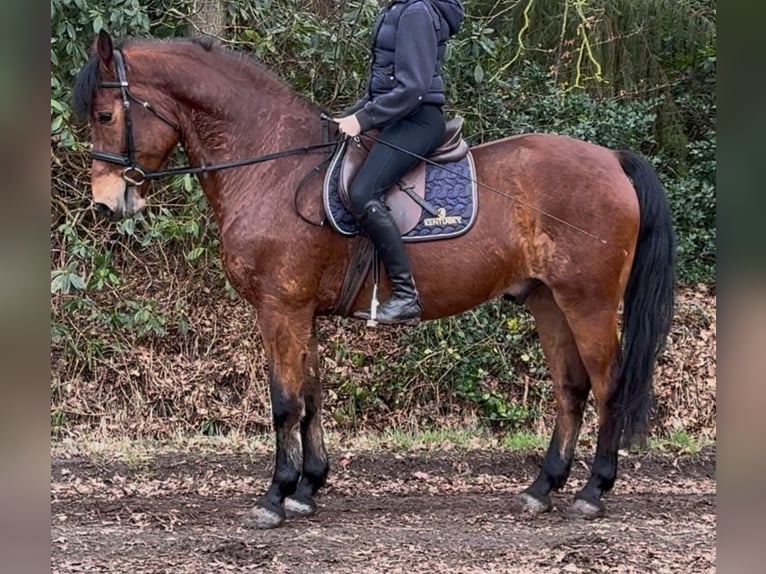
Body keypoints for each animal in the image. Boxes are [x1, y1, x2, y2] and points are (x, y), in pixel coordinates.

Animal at [70, 29, 672, 528]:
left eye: (105, 116)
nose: (105, 203)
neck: (271, 163)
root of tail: (612, 159)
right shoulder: (301, 310)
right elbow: (311, 394)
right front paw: (307, 489)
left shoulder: (279, 307)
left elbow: (284, 401)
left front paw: (275, 497)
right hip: (549, 301)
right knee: (571, 389)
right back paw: (542, 488)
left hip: (589, 303)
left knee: (609, 387)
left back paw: (593, 492)